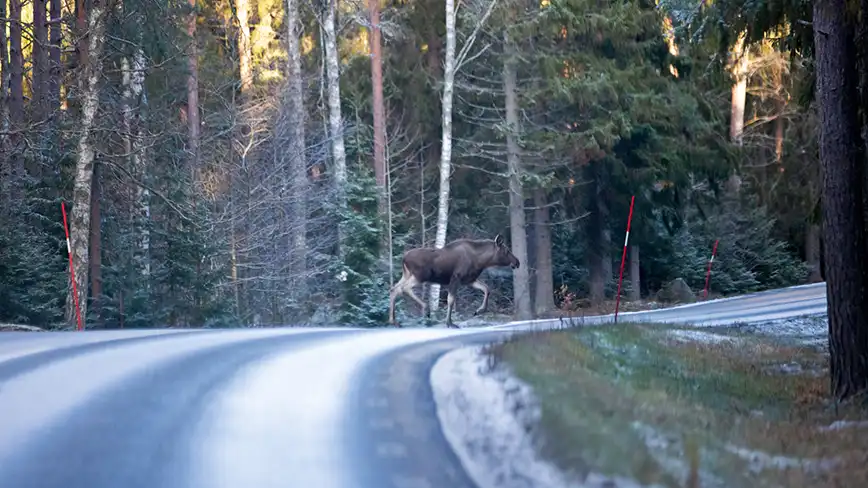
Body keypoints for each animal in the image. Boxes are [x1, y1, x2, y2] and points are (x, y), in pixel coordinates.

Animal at [388, 235, 520, 328]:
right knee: (403, 288)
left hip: (407, 274)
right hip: (420, 276)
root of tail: (403, 258)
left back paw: (393, 321)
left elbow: (486, 289)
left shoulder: (469, 280)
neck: (481, 261)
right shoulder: (456, 278)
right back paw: (426, 308)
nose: (517, 262)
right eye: (507, 250)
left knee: (394, 289)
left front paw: (479, 311)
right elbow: (451, 300)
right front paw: (449, 323)